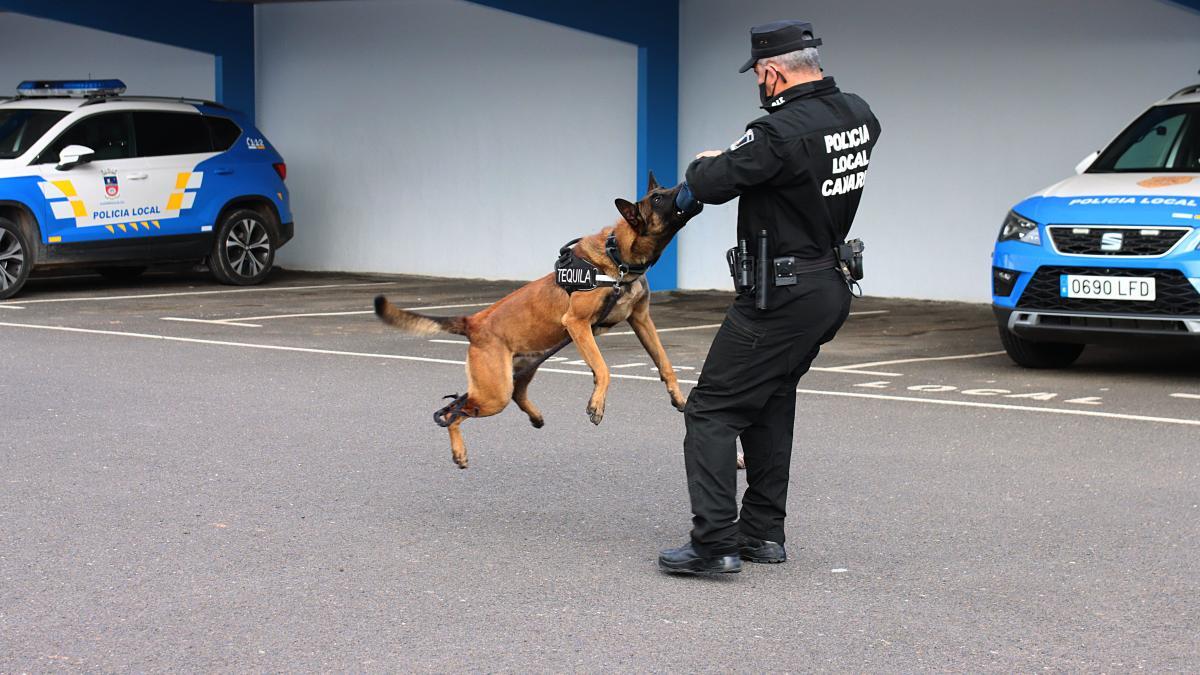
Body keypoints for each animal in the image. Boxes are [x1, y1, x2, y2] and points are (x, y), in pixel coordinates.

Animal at [374, 172, 700, 466]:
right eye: (658, 198)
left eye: (665, 189)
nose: (687, 183)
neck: (618, 258)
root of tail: (473, 321)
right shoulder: (578, 324)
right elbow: (604, 369)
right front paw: (597, 404)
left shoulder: (641, 320)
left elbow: (665, 363)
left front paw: (678, 397)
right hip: (495, 392)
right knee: (454, 411)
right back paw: (459, 451)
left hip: (524, 368)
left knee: (510, 395)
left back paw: (534, 416)